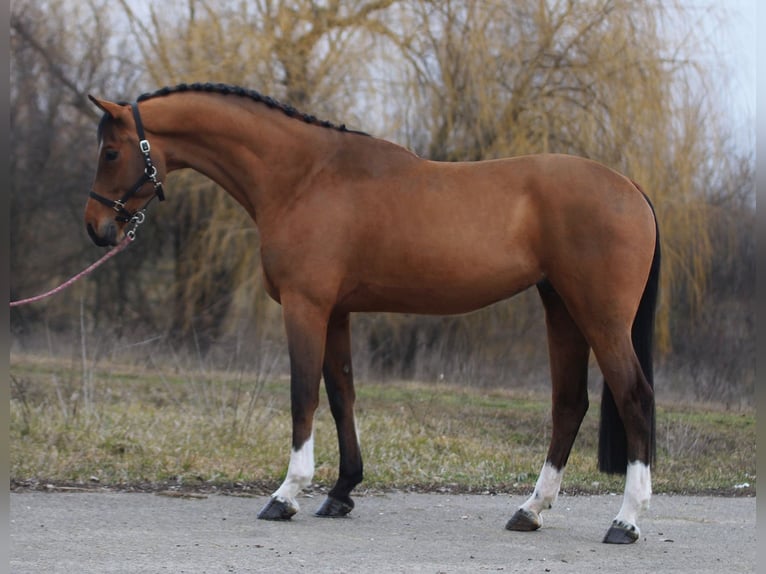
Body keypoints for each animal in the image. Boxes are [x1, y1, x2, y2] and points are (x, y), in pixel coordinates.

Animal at [82, 81, 660, 544]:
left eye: (110, 152)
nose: (96, 227)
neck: (304, 177)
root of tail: (631, 187)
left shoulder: (306, 307)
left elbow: (303, 395)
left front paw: (286, 494)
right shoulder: (336, 312)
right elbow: (342, 396)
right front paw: (341, 491)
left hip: (600, 318)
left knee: (634, 397)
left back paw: (626, 521)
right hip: (561, 310)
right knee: (569, 405)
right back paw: (531, 511)